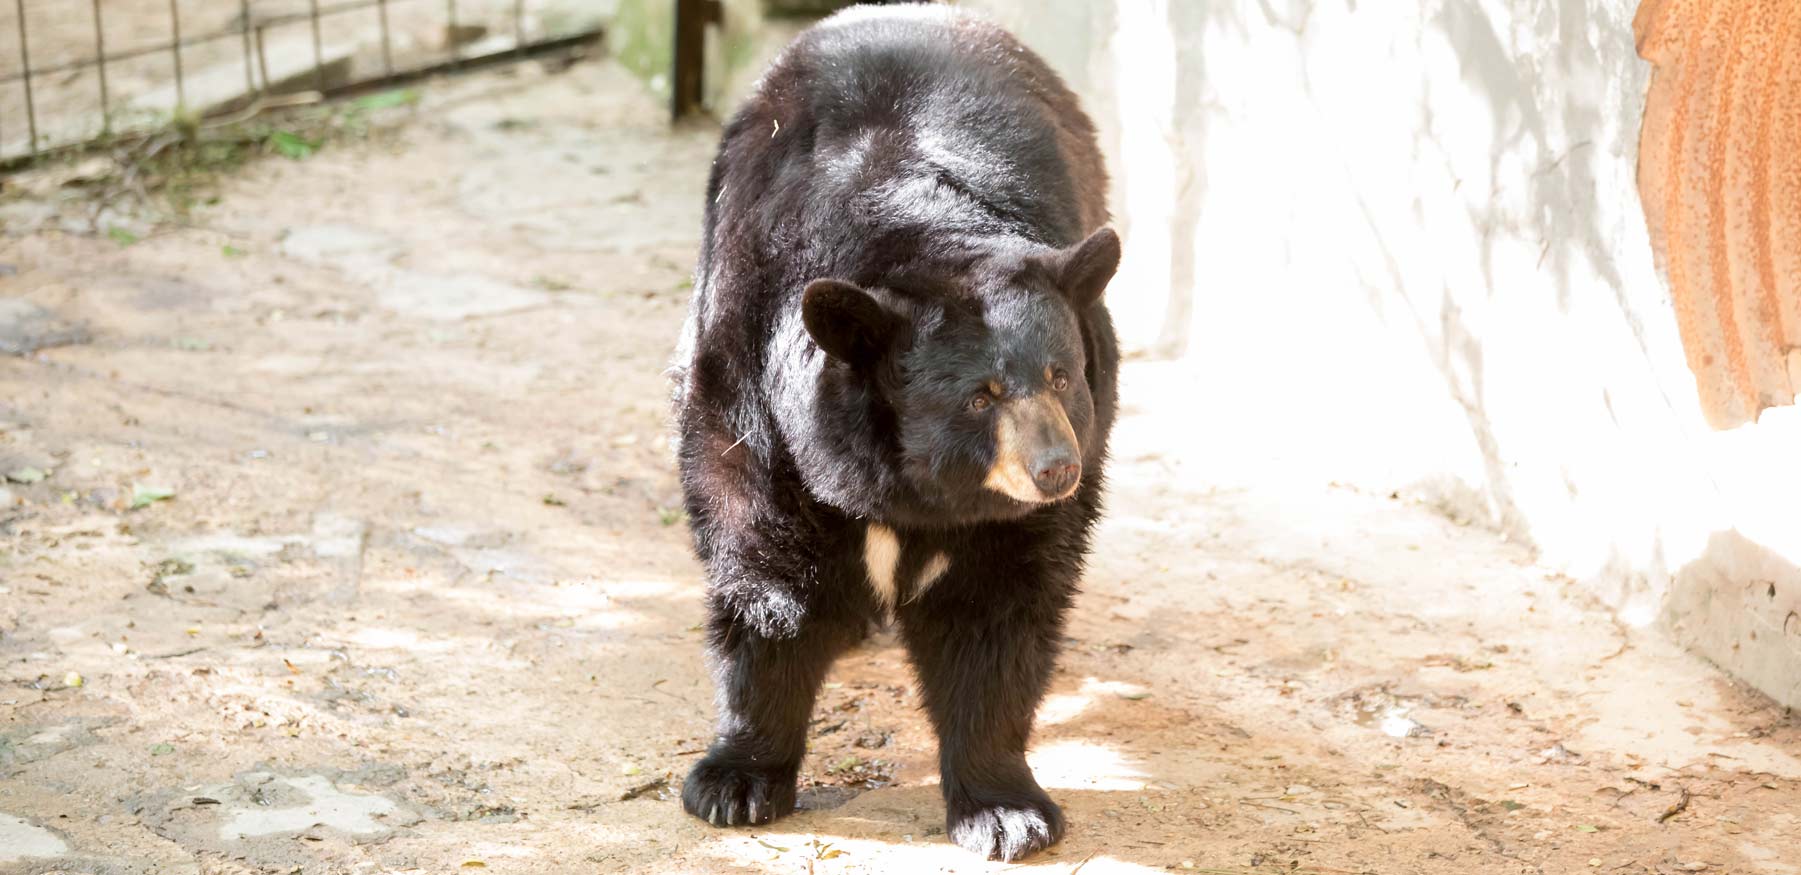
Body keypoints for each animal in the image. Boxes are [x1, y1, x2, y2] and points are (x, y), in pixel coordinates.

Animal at [669, 1, 1116, 860]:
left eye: (1059, 375)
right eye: (979, 396)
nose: (1054, 468)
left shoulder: (1029, 499)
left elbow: (997, 612)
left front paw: (1005, 810)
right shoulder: (754, 395)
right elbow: (768, 577)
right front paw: (734, 781)